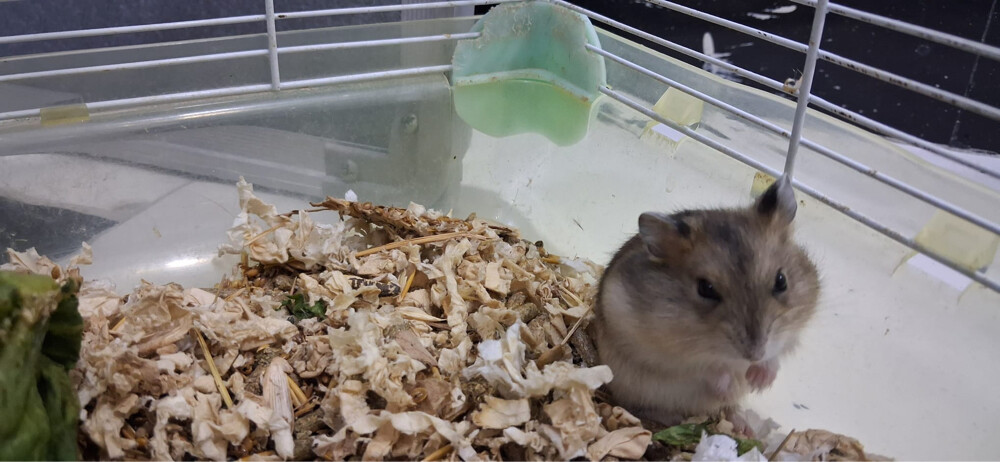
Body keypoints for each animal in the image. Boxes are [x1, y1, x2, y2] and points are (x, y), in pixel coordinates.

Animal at [593, 177, 820, 425]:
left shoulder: (792, 334)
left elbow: (777, 355)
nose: (754, 355)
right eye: (705, 288)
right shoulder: (654, 349)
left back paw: (742, 423)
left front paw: (758, 381)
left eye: (781, 281)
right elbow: (704, 369)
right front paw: (728, 387)